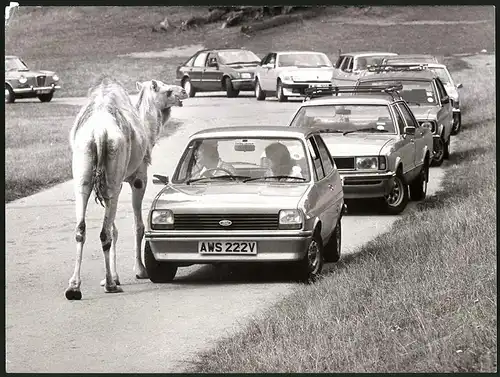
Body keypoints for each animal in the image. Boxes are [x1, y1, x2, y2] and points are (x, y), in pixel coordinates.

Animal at [63, 76, 187, 300]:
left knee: (81, 228)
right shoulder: (138, 178)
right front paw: (139, 271)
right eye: (166, 91)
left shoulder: (114, 183)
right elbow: (138, 226)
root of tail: (99, 132)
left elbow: (115, 228)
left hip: (84, 171)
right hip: (113, 170)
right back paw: (111, 285)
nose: (183, 91)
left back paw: (74, 287)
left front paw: (114, 275)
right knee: (104, 232)